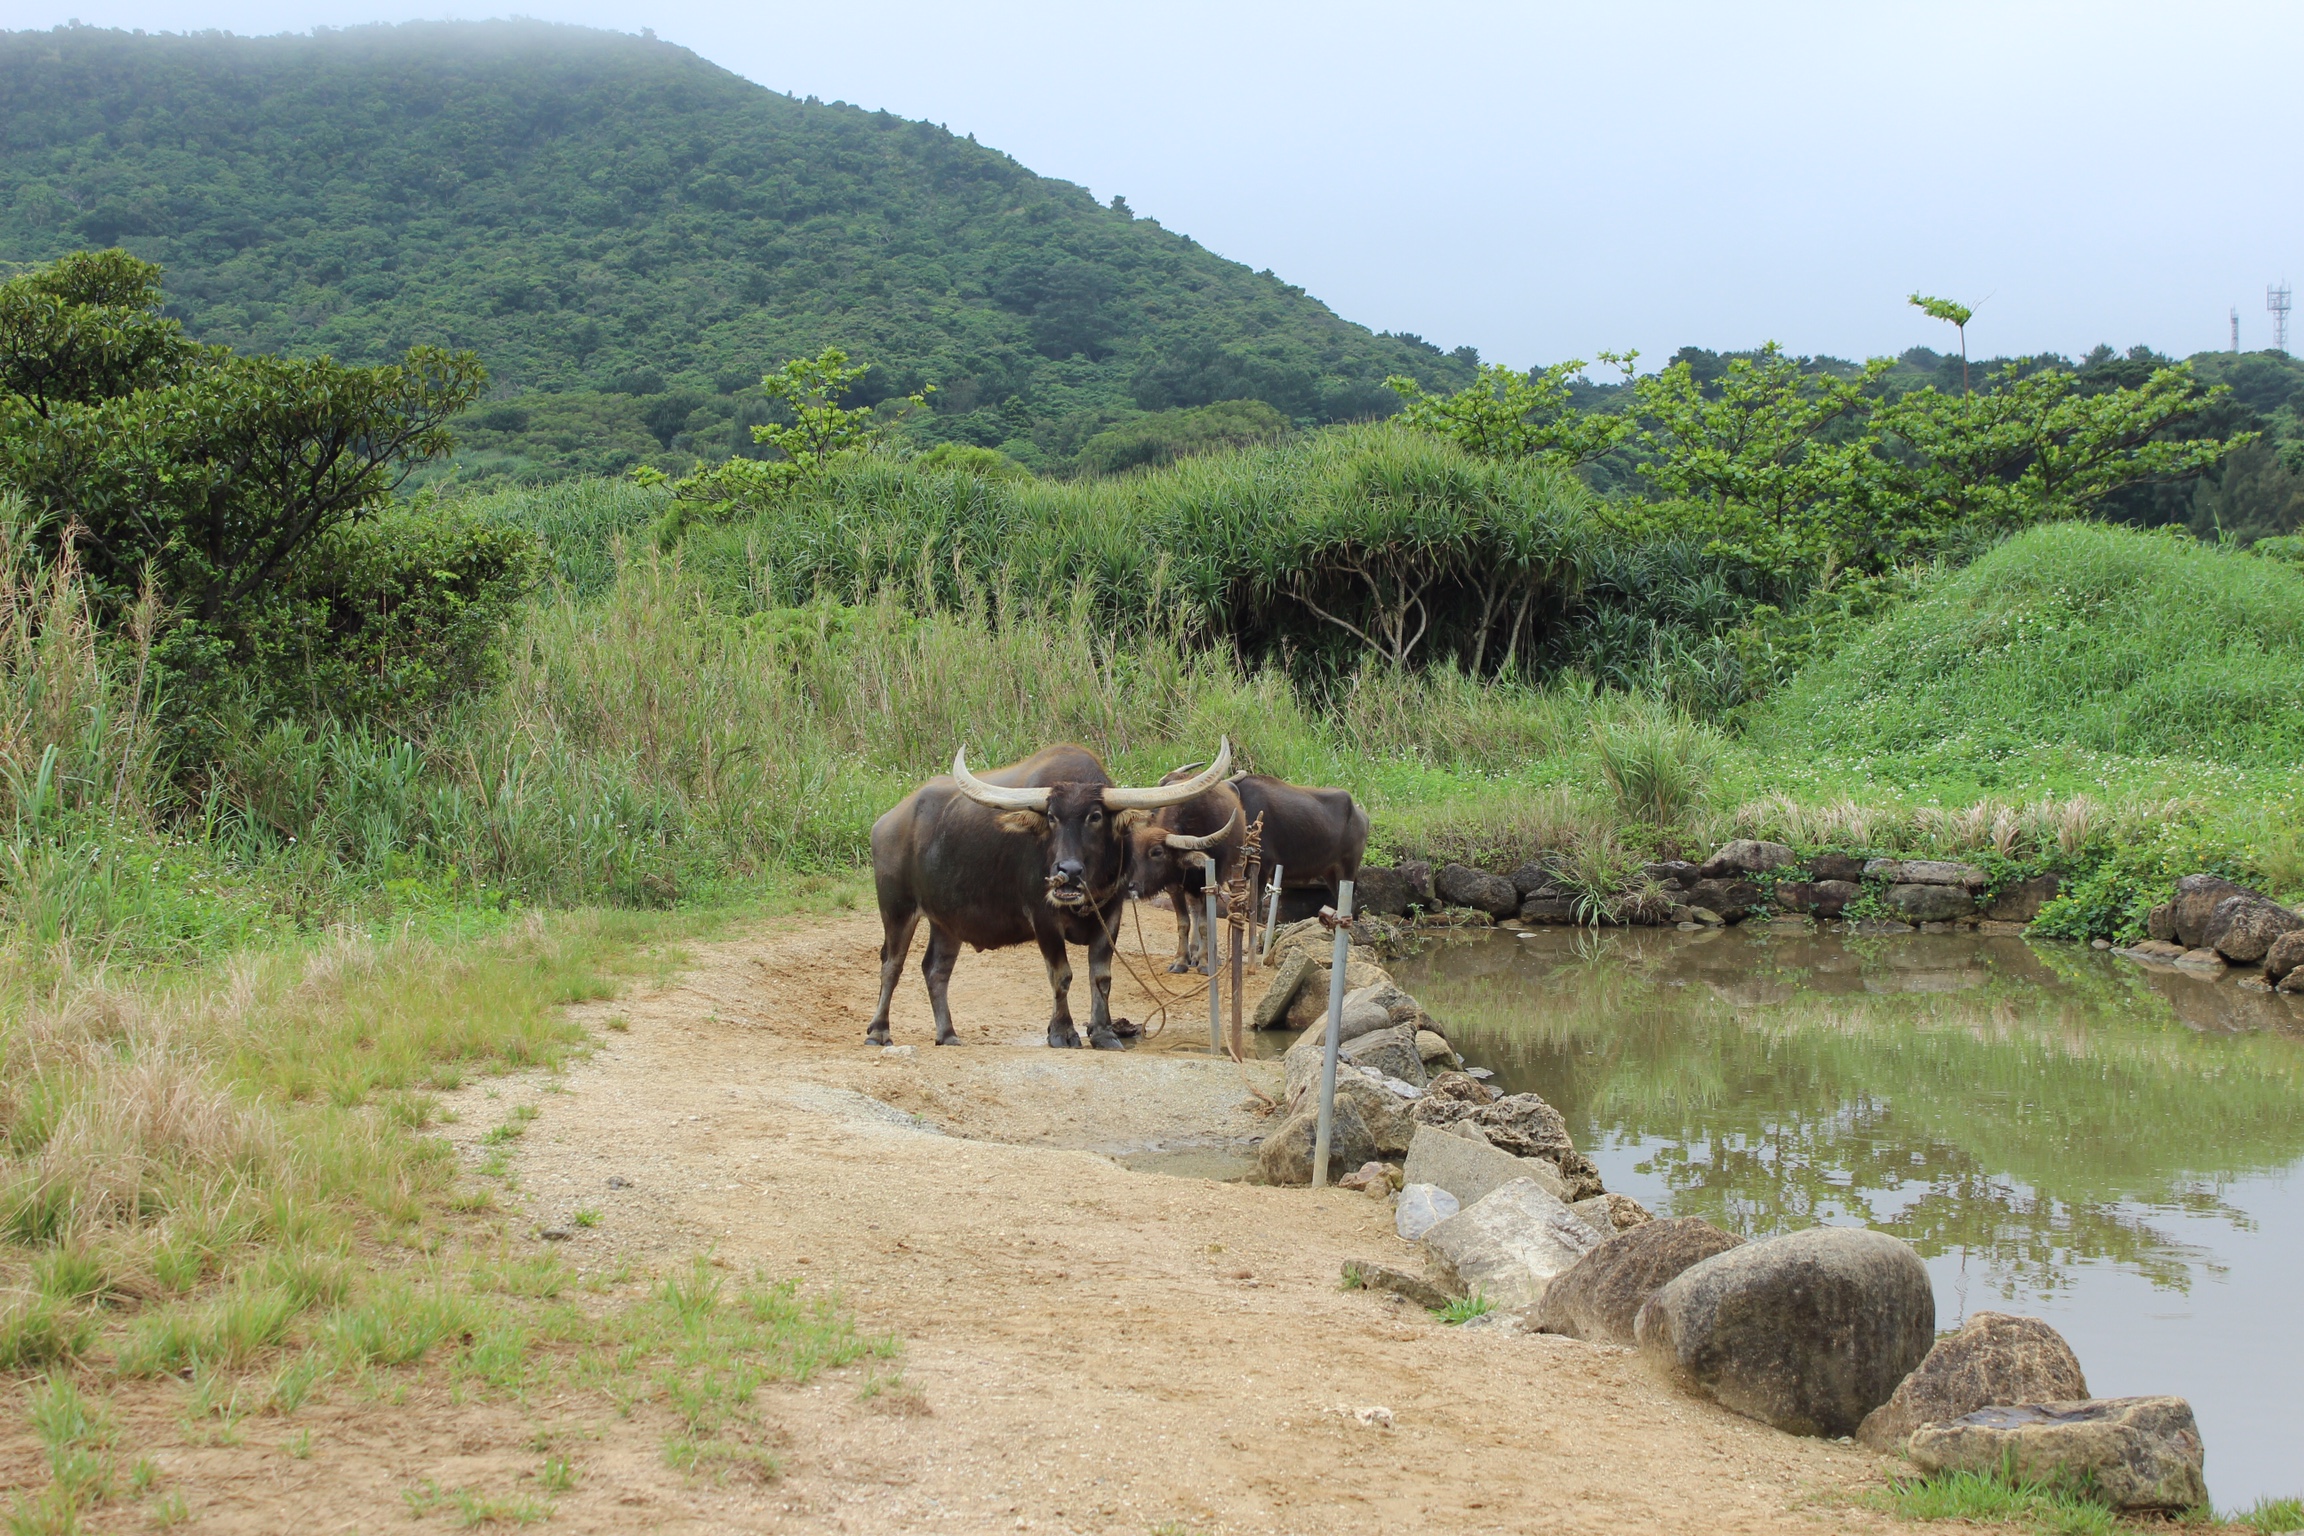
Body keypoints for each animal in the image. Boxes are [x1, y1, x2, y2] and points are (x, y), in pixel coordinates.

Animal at [866, 736, 1234, 1050]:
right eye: (1053, 818)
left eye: (1095, 816)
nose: (1067, 872)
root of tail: (886, 822)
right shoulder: (1043, 919)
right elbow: (1062, 975)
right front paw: (1063, 1033)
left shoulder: (1111, 915)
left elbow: (1101, 976)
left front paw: (1103, 1032)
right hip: (897, 908)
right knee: (891, 964)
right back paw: (879, 1031)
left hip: (947, 922)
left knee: (936, 970)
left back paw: (947, 1034)